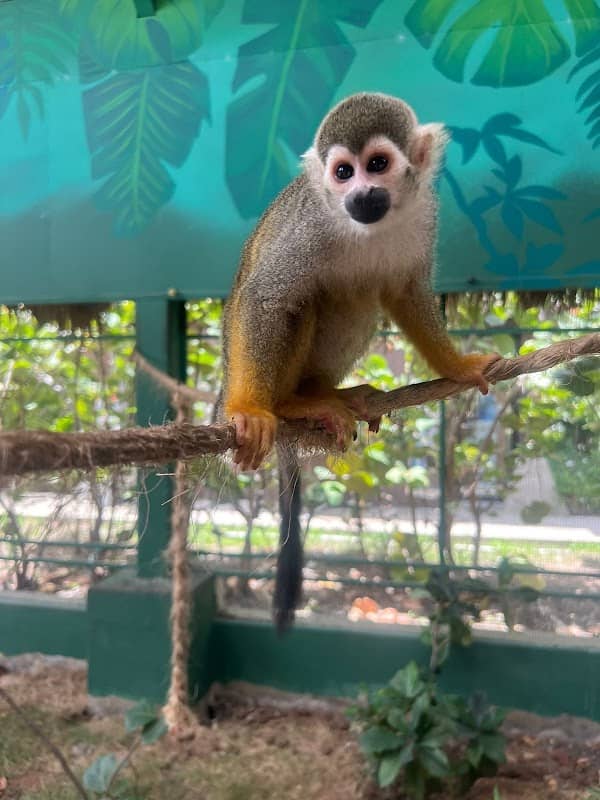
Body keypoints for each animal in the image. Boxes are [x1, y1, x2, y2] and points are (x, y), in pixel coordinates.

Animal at [220, 92, 497, 632]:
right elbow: (267, 298)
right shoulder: (308, 228)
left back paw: (324, 391)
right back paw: (288, 404)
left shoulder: (422, 216)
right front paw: (248, 410)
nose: (362, 194)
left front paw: (457, 366)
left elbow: (406, 291)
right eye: (343, 172)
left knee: (361, 291)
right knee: (304, 299)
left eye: (378, 165)